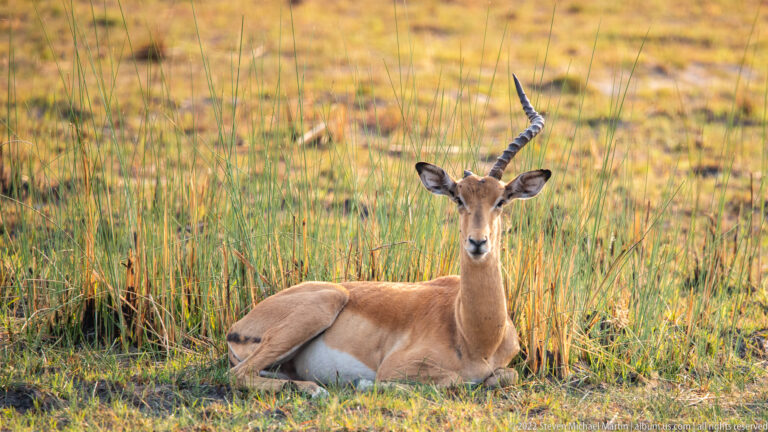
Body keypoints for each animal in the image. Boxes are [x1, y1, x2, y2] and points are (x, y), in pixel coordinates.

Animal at [227, 75, 550, 396]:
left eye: (501, 200)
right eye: (458, 198)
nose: (478, 242)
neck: (473, 335)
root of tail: (239, 326)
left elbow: (506, 375)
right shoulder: (396, 368)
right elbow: (449, 381)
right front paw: (365, 383)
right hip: (321, 306)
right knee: (237, 374)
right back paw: (316, 389)